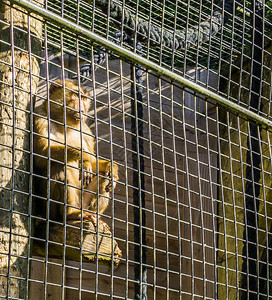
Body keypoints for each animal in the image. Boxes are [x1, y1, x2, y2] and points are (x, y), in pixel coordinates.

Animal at [33, 79, 118, 227]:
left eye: (83, 98)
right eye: (75, 96)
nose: (81, 109)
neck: (64, 124)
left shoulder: (86, 131)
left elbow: (95, 163)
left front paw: (112, 168)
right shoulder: (39, 115)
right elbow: (41, 156)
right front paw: (82, 156)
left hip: (84, 202)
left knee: (103, 176)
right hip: (50, 210)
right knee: (61, 167)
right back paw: (70, 214)